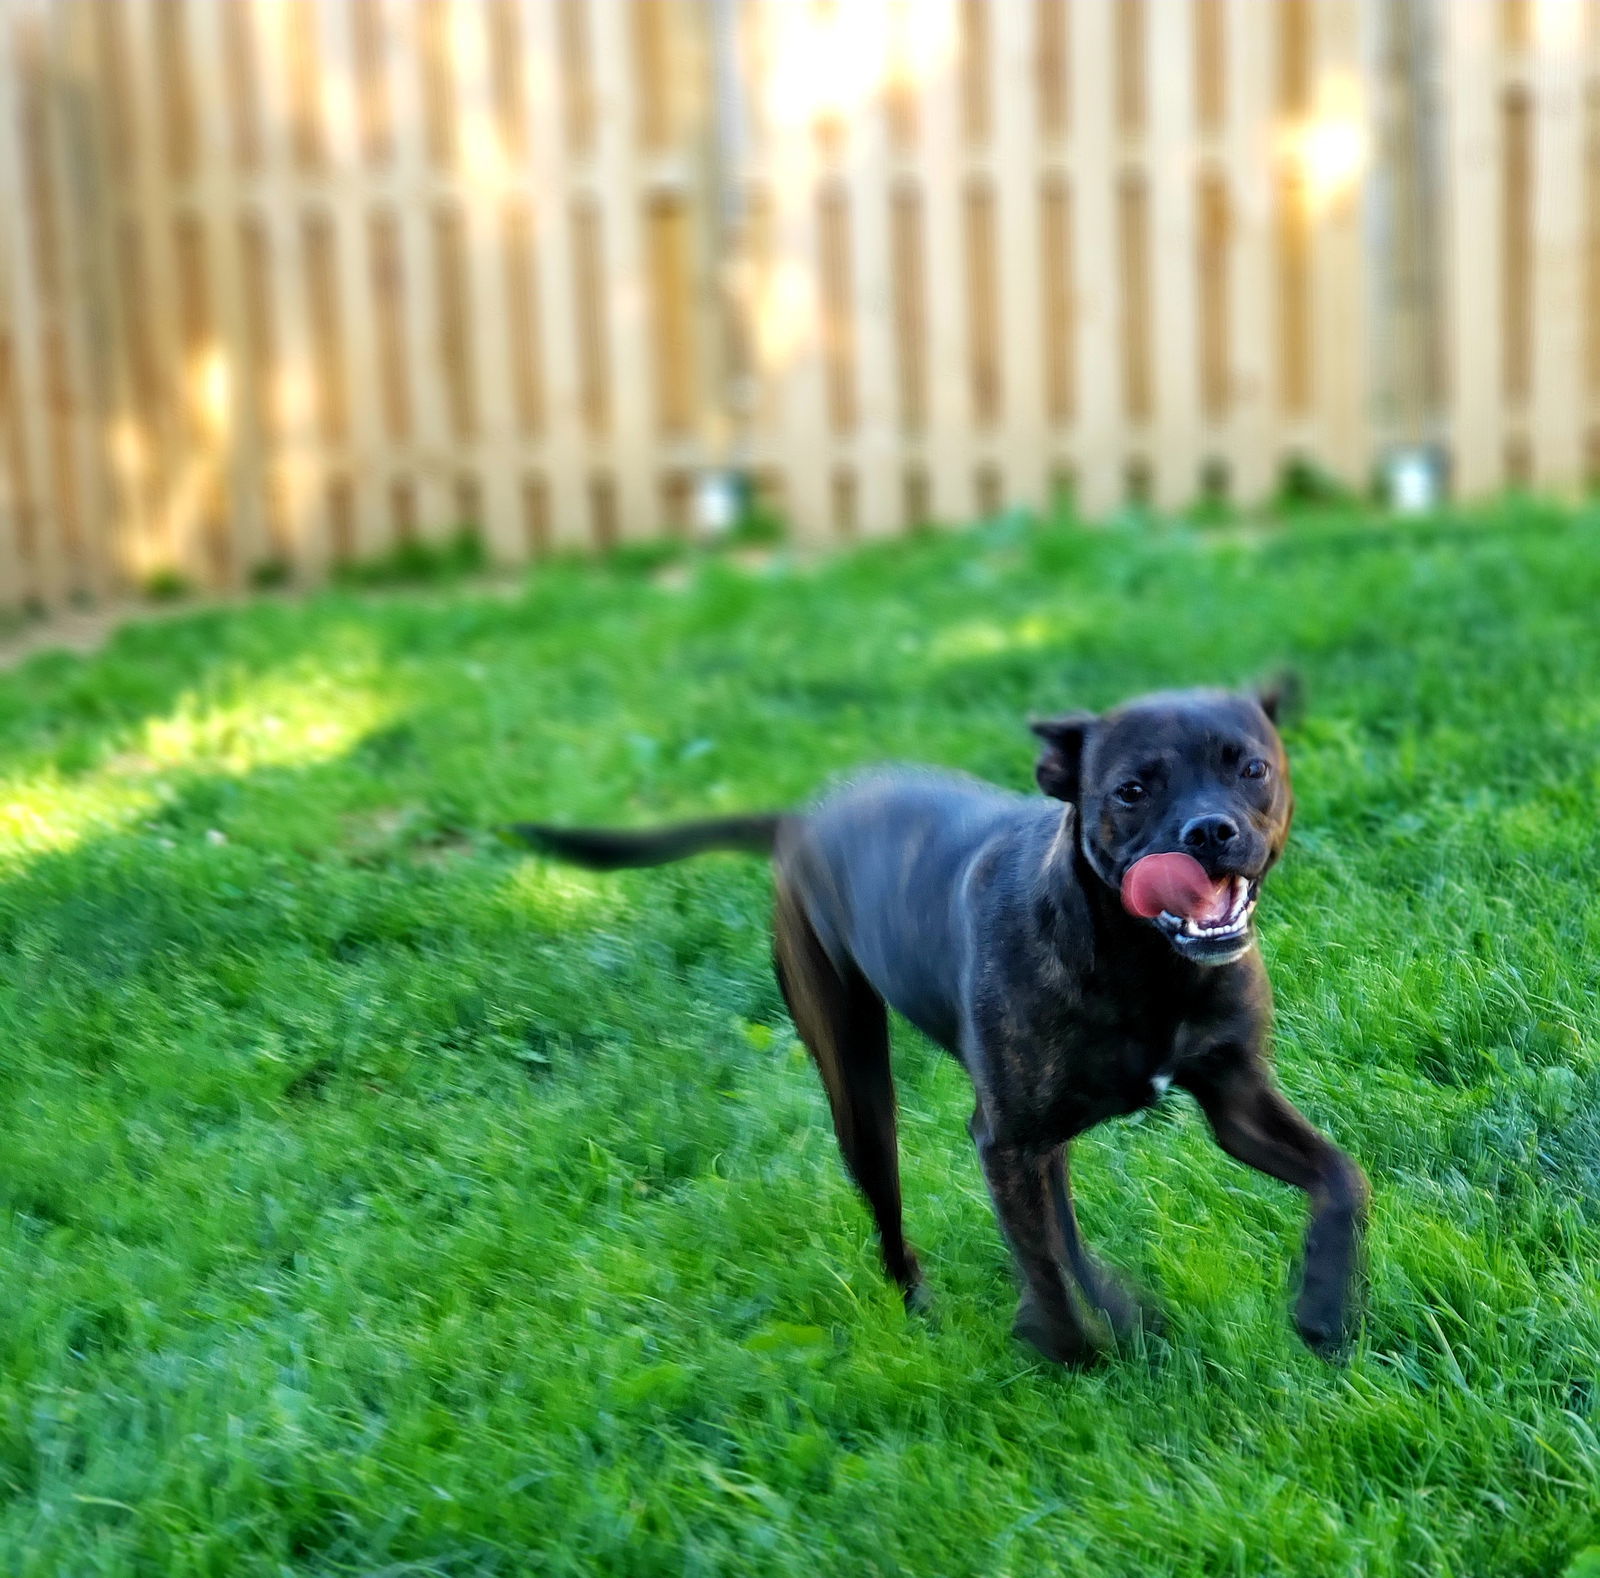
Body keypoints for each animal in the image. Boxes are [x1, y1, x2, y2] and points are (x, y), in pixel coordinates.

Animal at [508, 681, 1363, 1357]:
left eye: (1250, 767)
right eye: (1131, 790)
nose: (1210, 830)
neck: (1147, 966)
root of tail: (803, 816)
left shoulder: (1233, 1099)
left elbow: (1341, 1178)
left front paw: (1324, 1310)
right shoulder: (1004, 1139)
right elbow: (1043, 1270)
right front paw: (1068, 1353)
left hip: (1025, 1136)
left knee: (1059, 1222)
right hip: (861, 1091)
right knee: (898, 1217)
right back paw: (929, 1305)